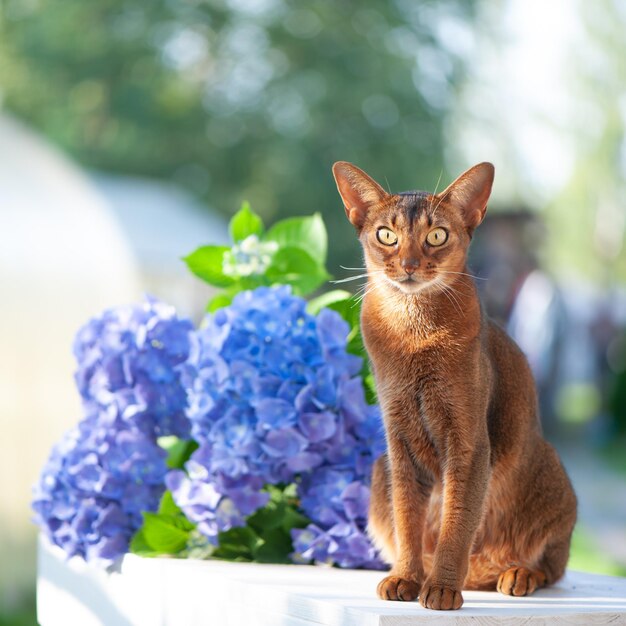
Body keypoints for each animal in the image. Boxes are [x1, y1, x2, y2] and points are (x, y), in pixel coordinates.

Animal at [332, 161, 576, 608]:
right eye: (386, 235)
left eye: (437, 235)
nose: (409, 263)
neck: (413, 334)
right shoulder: (399, 443)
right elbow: (408, 520)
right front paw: (407, 577)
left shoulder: (469, 442)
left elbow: (457, 520)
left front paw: (443, 587)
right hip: (378, 470)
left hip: (550, 474)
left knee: (553, 565)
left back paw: (517, 574)